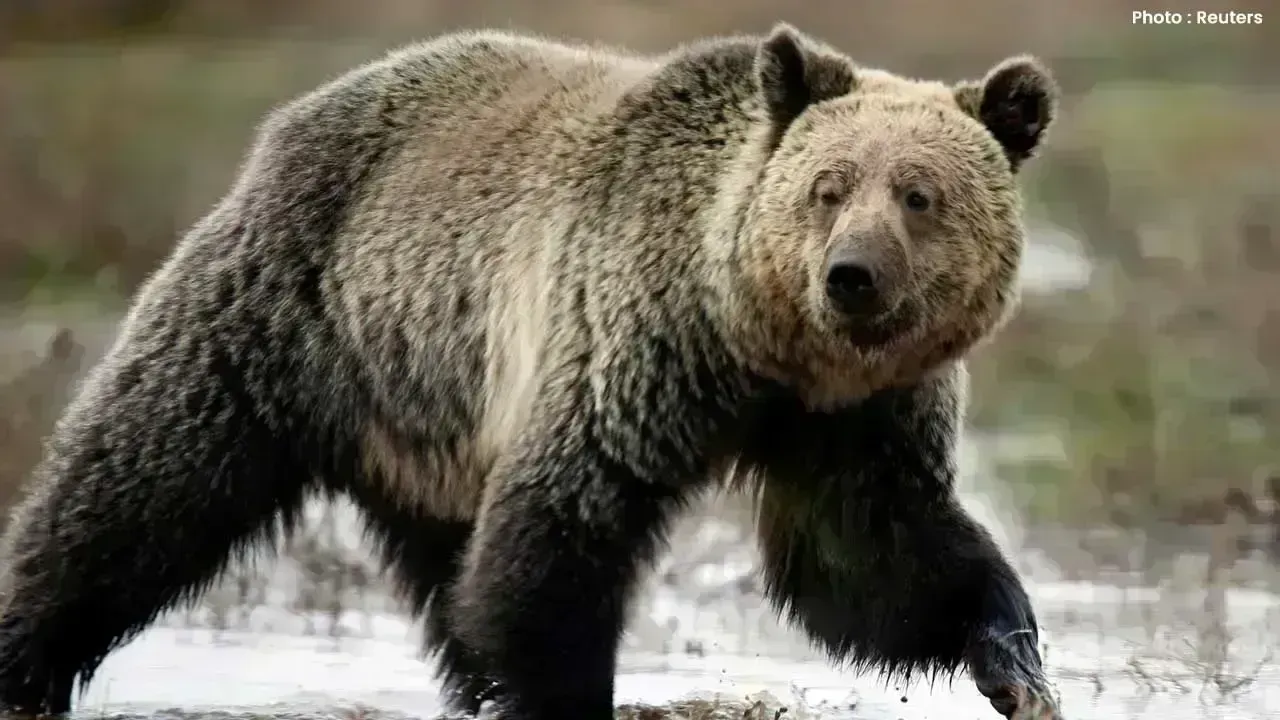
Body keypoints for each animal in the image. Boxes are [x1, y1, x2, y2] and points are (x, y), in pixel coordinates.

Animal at [0, 22, 1060, 720]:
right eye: (828, 187)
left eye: (919, 195)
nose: (851, 276)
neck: (764, 349)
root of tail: (295, 118)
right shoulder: (633, 345)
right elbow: (561, 530)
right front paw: (565, 697)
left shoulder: (858, 419)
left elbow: (869, 556)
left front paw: (1014, 657)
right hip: (292, 309)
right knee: (141, 483)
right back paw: (27, 656)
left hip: (432, 413)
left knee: (448, 570)